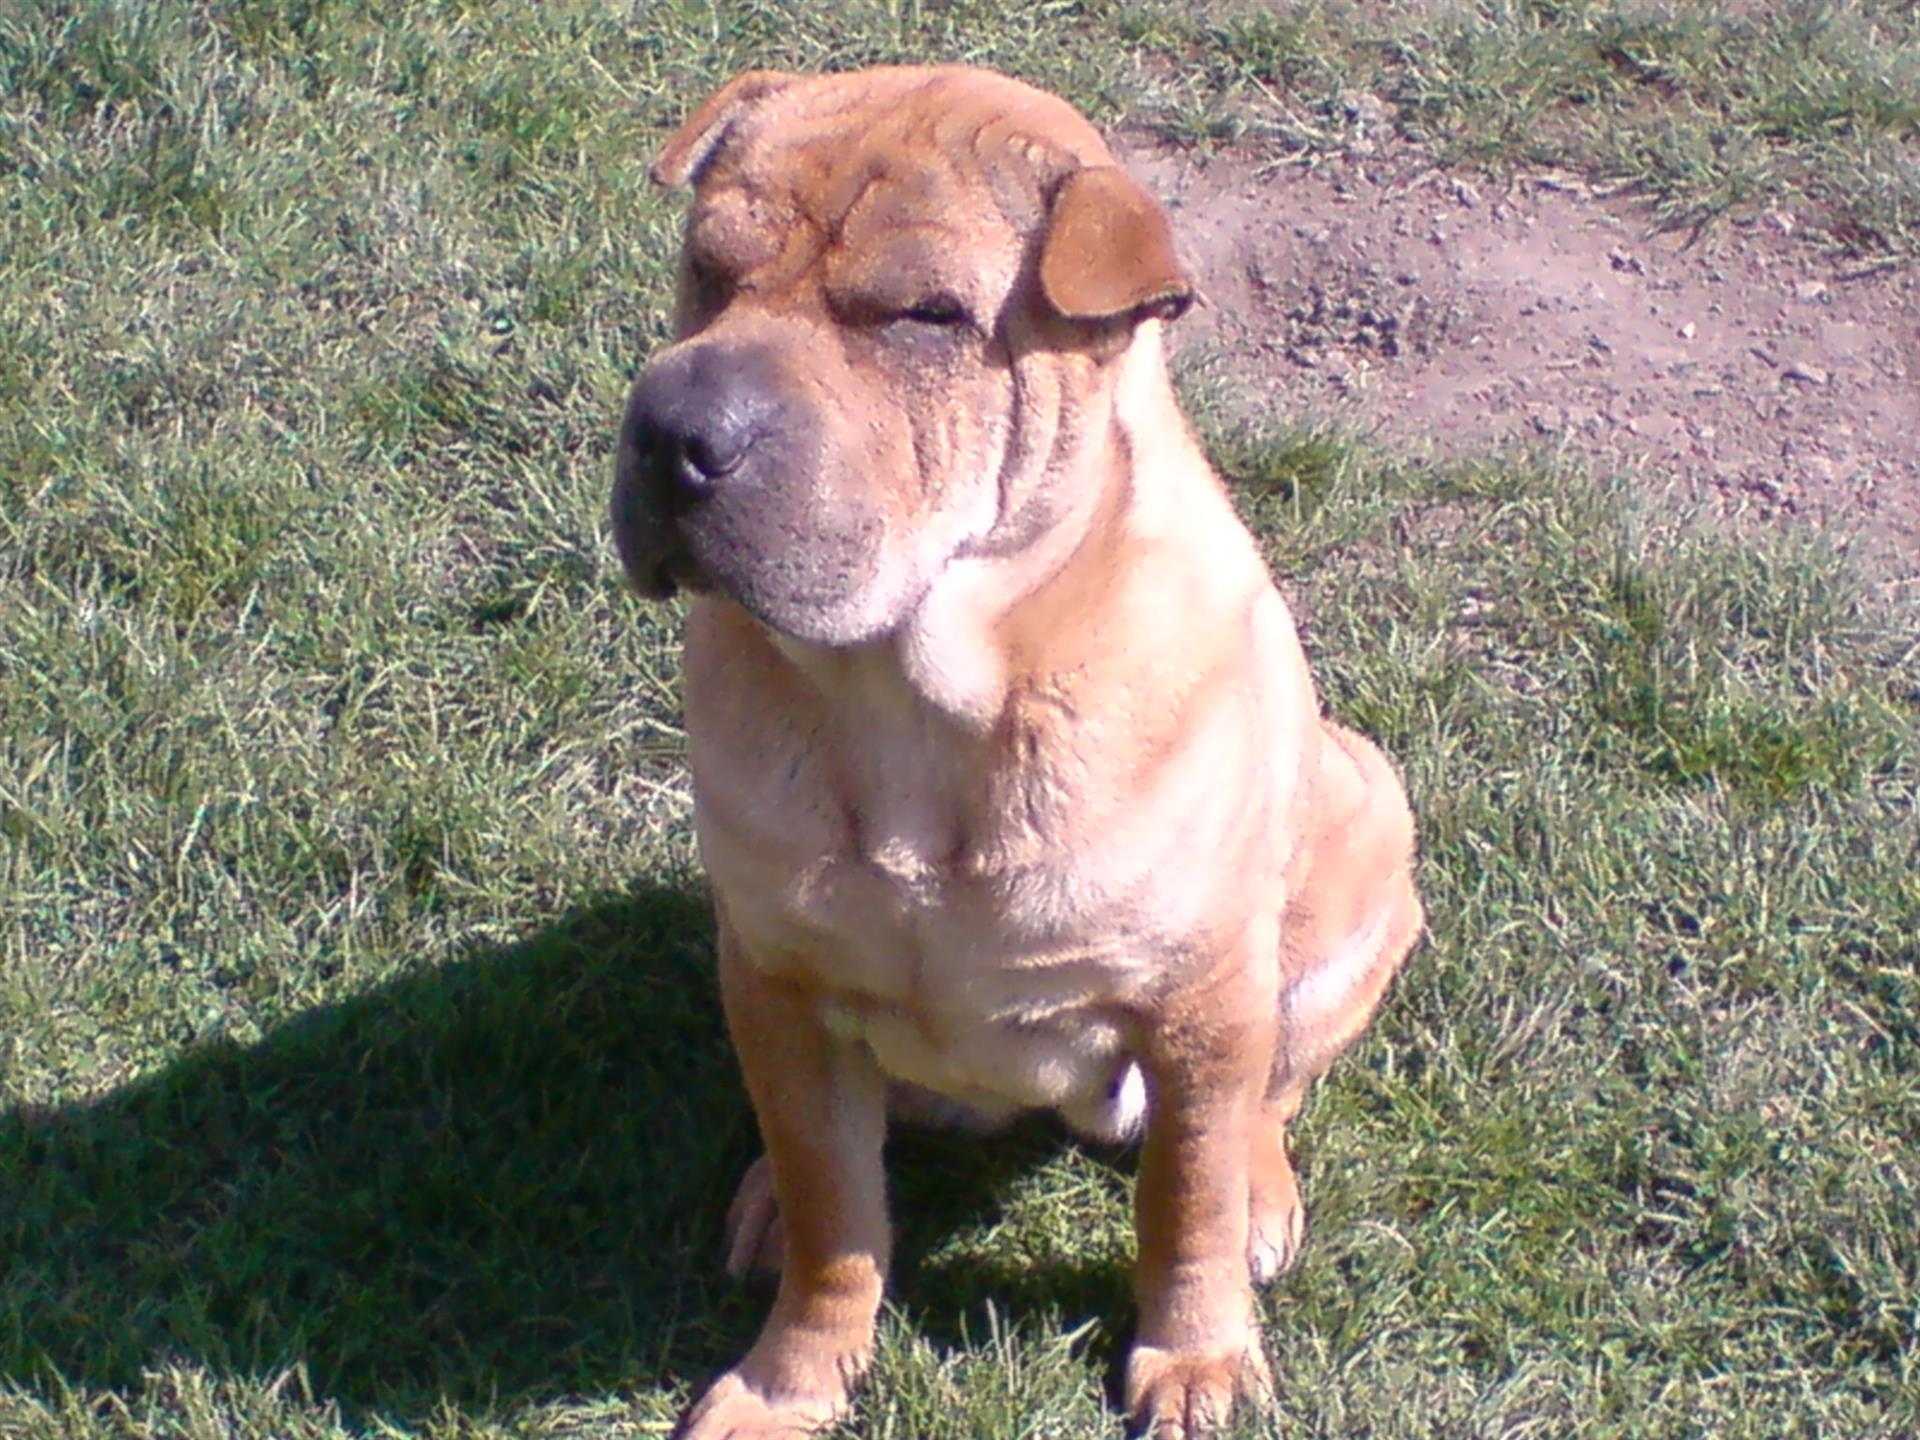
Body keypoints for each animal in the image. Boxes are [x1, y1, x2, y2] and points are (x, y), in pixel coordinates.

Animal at [611, 65, 1424, 1440]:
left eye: (925, 316)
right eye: (706, 271)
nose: (671, 431)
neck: (908, 695)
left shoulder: (1201, 1002)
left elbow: (1186, 1197)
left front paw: (1196, 1358)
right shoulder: (773, 980)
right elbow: (837, 1217)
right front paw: (785, 1385)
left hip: (1364, 832)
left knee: (1270, 1095)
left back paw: (1264, 1191)